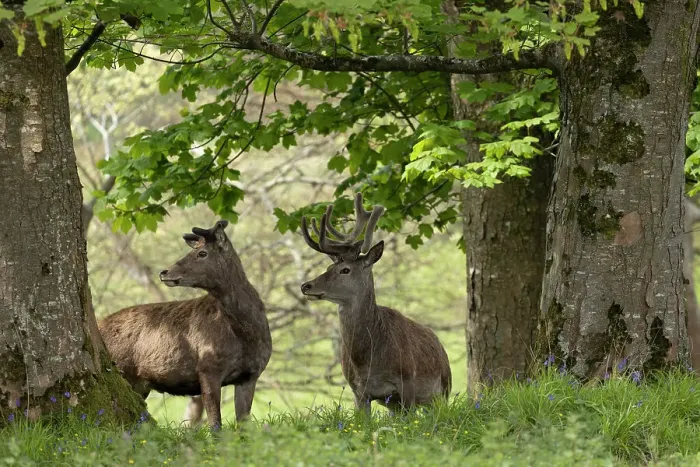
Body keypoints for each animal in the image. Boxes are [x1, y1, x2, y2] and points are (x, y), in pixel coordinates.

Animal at [98, 220, 271, 430]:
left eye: (202, 253)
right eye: (193, 250)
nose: (164, 272)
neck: (246, 335)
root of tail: (98, 323)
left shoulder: (250, 375)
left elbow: (244, 425)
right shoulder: (208, 368)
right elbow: (215, 425)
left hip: (139, 383)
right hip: (124, 371)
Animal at [299, 193, 452, 414]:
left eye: (345, 270)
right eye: (328, 267)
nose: (306, 286)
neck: (368, 360)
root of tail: (440, 346)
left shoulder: (408, 381)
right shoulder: (358, 391)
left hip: (443, 391)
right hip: (395, 405)